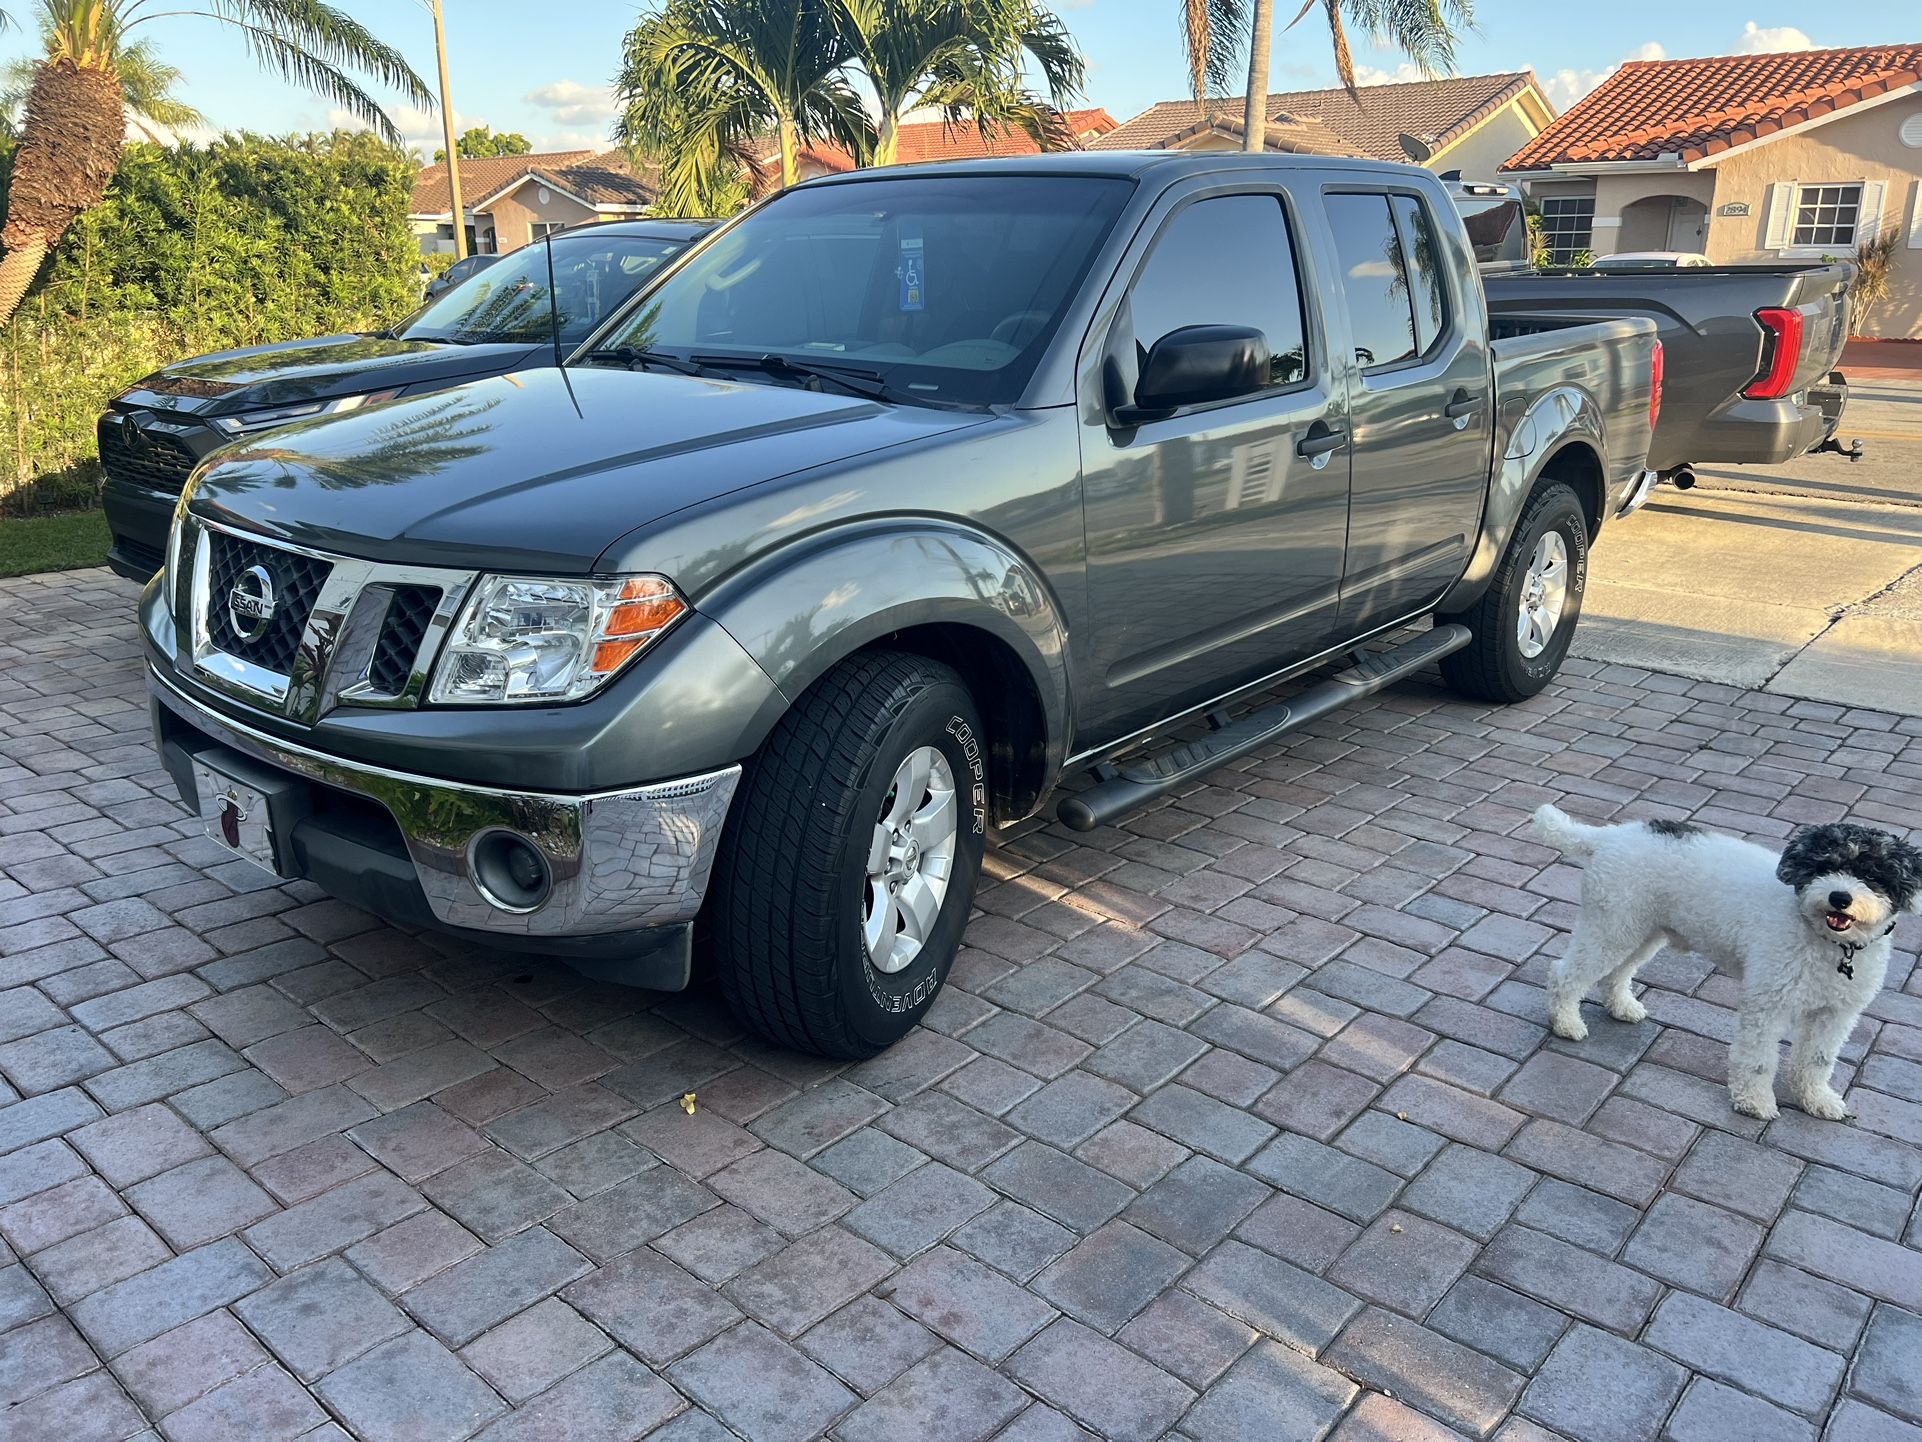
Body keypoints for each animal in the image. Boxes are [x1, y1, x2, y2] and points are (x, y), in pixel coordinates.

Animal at [1529, 807, 1922, 1122]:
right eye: (1824, 865)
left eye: (1873, 875)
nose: (1840, 897)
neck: (1826, 942)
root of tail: (1609, 835)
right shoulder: (1767, 1003)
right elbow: (1759, 1060)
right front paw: (1754, 1102)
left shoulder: (1836, 1014)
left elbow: (1818, 1061)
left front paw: (1817, 1100)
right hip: (1612, 928)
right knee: (1565, 974)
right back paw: (1566, 1023)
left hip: (1643, 932)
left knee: (1616, 974)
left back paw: (1622, 1007)